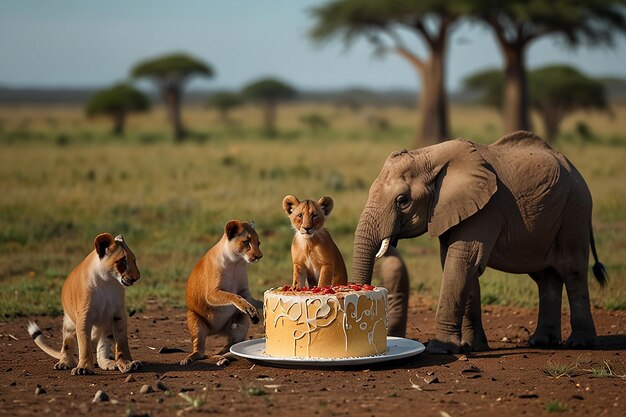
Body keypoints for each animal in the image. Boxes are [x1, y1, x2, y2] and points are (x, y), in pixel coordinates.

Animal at [354, 132, 608, 352]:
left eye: (402, 201)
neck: (430, 155)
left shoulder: (487, 208)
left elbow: (462, 262)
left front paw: (441, 349)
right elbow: (460, 267)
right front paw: (472, 347)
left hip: (575, 210)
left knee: (573, 270)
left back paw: (580, 344)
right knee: (546, 277)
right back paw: (542, 342)